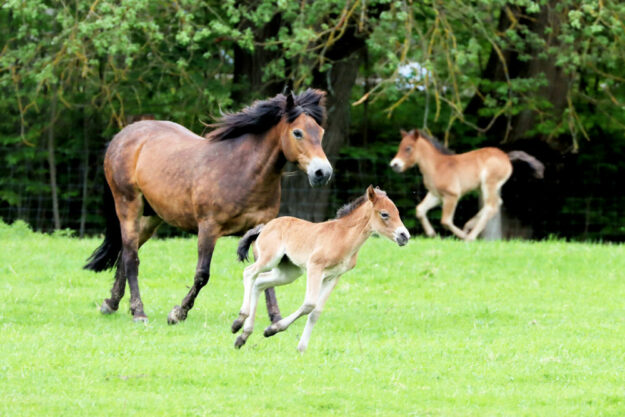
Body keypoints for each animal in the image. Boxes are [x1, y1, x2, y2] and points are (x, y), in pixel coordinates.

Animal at [85, 89, 334, 324]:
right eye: (298, 132)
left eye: (321, 133)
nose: (322, 173)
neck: (243, 171)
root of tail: (122, 136)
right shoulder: (208, 228)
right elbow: (202, 275)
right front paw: (178, 313)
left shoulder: (262, 231)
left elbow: (266, 274)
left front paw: (276, 318)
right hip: (128, 206)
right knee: (130, 257)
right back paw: (138, 312)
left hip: (151, 217)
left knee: (127, 252)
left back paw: (111, 303)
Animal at [390, 129, 540, 240]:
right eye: (400, 147)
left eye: (408, 148)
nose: (394, 165)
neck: (437, 166)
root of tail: (506, 157)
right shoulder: (436, 195)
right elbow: (420, 210)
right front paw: (432, 233)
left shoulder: (451, 196)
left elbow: (445, 220)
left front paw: (462, 236)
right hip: (484, 187)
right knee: (495, 204)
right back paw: (469, 226)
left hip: (489, 184)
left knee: (491, 206)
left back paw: (470, 235)